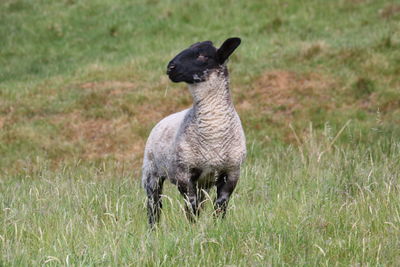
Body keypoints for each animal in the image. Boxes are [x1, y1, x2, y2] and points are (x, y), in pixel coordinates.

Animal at [141, 36, 247, 227]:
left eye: (202, 56)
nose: (170, 68)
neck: (214, 132)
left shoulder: (231, 172)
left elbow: (220, 207)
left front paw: (217, 227)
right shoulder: (184, 173)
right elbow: (191, 207)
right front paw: (193, 228)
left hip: (202, 183)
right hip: (151, 172)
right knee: (154, 207)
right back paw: (153, 230)